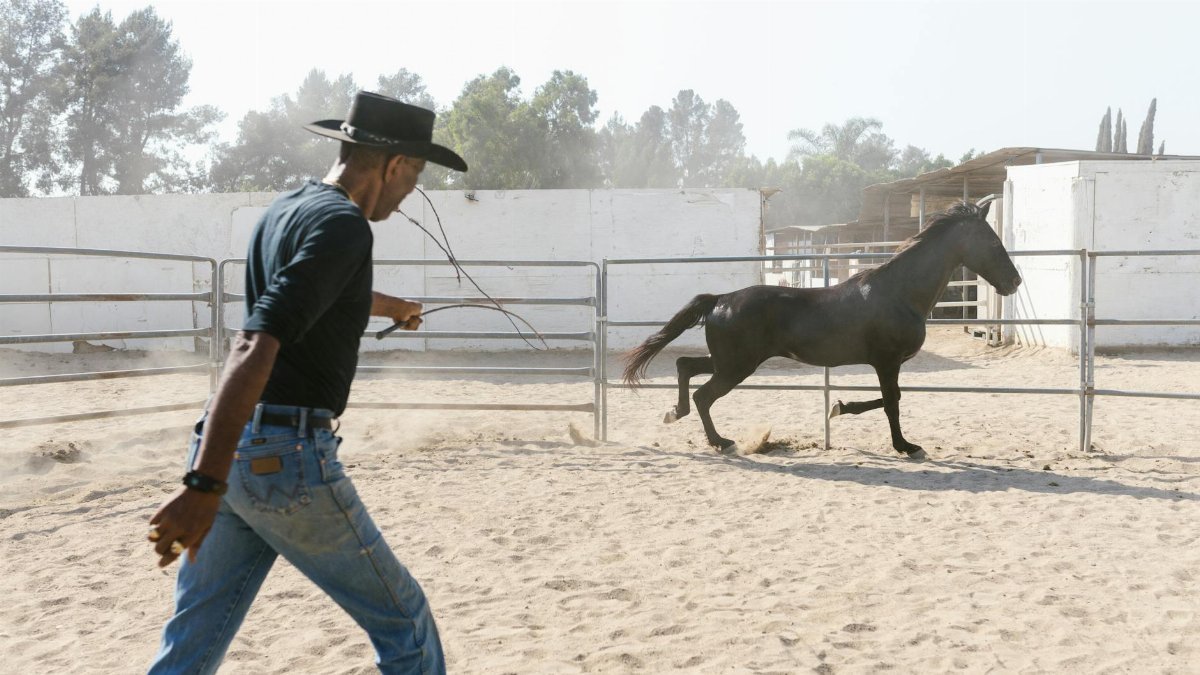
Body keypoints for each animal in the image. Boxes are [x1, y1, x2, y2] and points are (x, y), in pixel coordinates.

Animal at [621, 200, 1022, 458]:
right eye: (991, 240)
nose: (1015, 281)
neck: (900, 293)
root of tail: (720, 299)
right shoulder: (887, 361)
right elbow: (892, 402)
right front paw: (906, 447)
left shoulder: (885, 363)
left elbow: (889, 399)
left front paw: (839, 408)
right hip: (737, 366)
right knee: (703, 395)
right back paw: (722, 442)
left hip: (730, 361)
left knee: (685, 366)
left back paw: (675, 414)